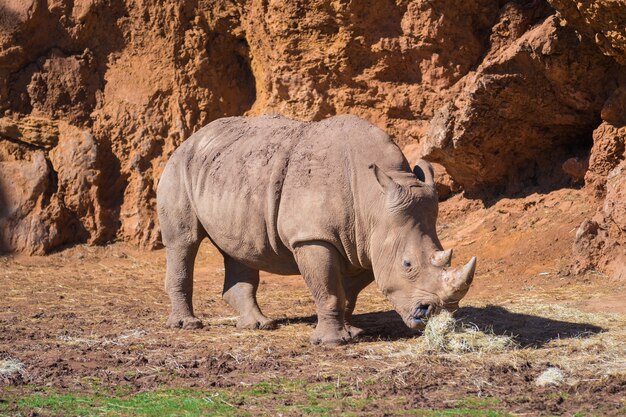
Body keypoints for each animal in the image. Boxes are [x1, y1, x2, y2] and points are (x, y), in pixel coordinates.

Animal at [156, 114, 472, 344]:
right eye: (407, 264)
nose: (433, 314)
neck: (373, 202)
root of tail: (192, 138)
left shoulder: (364, 243)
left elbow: (347, 294)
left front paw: (352, 333)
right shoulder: (313, 237)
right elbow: (329, 289)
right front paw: (332, 342)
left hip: (228, 173)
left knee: (240, 248)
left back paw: (259, 325)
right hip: (178, 168)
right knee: (184, 242)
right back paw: (188, 325)